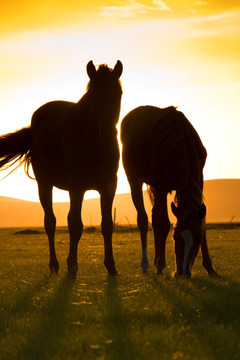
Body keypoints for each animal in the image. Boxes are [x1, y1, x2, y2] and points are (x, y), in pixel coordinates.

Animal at [0, 61, 123, 276]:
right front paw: (72, 266)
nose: (107, 134)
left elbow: (107, 225)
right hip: (44, 184)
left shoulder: (109, 186)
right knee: (50, 222)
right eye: (93, 95)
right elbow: (75, 225)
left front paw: (111, 266)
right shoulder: (77, 186)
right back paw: (54, 265)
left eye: (118, 94)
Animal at [121, 105, 217, 278]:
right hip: (133, 178)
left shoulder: (199, 180)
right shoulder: (160, 185)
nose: (183, 273)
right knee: (143, 219)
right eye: (175, 237)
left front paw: (209, 266)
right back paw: (147, 265)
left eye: (198, 241)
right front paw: (161, 265)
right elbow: (163, 223)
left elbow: (203, 224)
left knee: (154, 215)